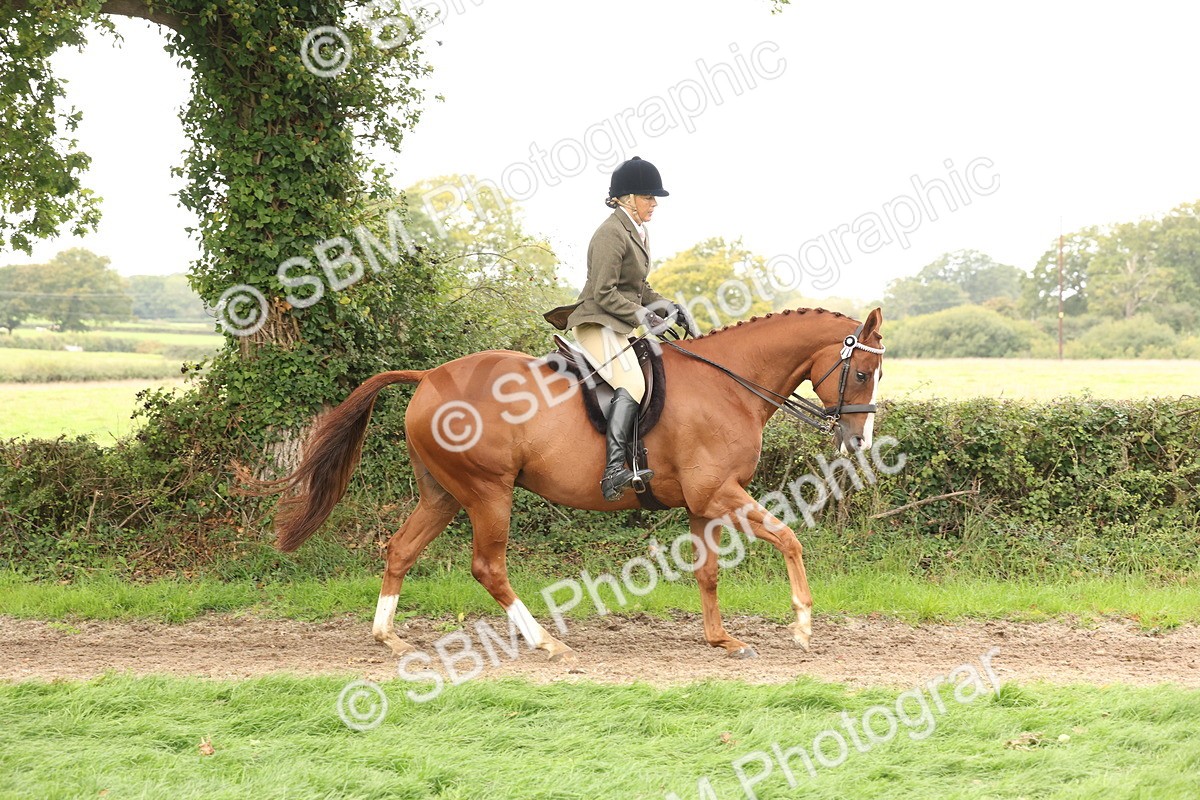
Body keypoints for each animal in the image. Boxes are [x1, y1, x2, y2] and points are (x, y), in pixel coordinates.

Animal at [253, 307, 885, 661]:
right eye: (861, 371)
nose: (859, 442)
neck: (729, 384)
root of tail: (430, 376)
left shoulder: (703, 503)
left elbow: (707, 573)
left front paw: (722, 641)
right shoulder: (719, 493)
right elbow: (789, 538)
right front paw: (803, 625)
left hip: (444, 494)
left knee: (400, 549)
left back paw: (388, 637)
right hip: (488, 493)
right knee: (488, 568)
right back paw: (546, 643)